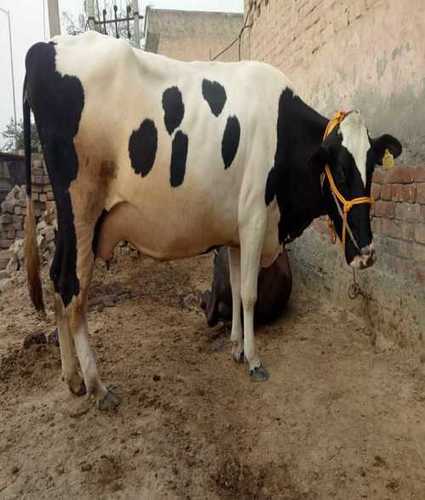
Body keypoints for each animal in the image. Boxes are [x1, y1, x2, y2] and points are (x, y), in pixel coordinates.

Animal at [23, 31, 400, 408]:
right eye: (340, 170)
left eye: (371, 167)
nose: (367, 253)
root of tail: (45, 46)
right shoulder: (254, 219)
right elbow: (248, 292)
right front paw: (254, 360)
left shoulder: (235, 232)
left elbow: (234, 287)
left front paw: (236, 348)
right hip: (82, 208)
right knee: (71, 285)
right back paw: (96, 384)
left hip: (71, 221)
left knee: (56, 278)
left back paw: (72, 377)